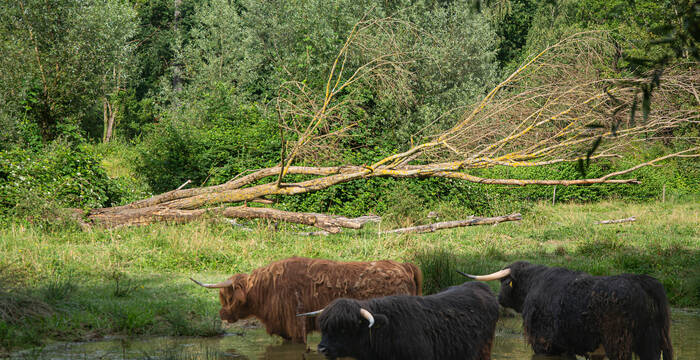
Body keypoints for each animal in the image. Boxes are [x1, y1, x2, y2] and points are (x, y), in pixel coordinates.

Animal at [460, 262, 672, 360]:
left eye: (504, 283)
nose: (499, 298)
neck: (533, 284)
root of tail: (641, 281)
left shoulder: (542, 343)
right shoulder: (567, 348)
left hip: (619, 344)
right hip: (651, 343)